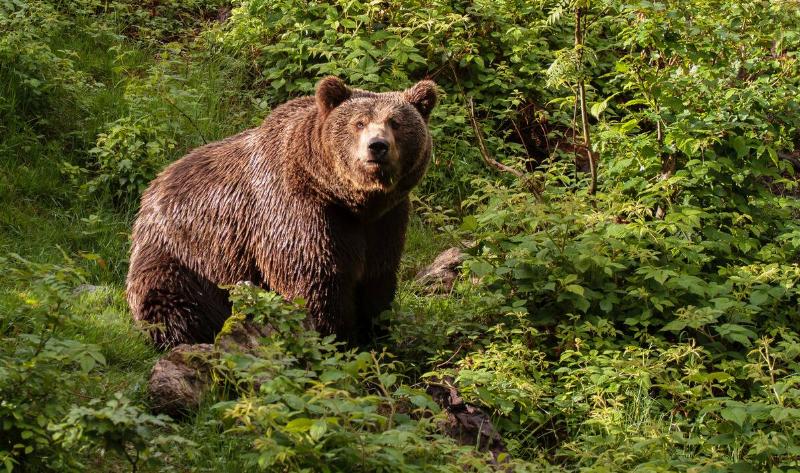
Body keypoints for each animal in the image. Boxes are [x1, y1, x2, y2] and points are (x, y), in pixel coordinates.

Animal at [126, 76, 438, 349]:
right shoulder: (299, 212)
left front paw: (377, 337)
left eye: (395, 122)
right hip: (185, 256)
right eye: (358, 123)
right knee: (170, 301)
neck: (350, 200)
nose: (377, 146)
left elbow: (377, 280)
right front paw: (335, 338)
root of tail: (153, 187)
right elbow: (314, 281)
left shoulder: (385, 220)